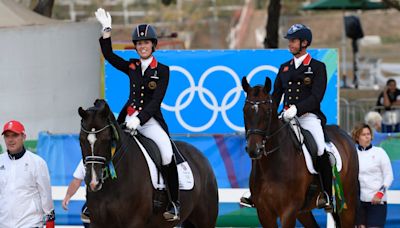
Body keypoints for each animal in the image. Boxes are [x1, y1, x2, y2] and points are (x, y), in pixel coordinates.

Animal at [78, 100, 219, 228]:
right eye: (81, 139)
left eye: (106, 139)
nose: (93, 182)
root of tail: (201, 156)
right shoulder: (97, 223)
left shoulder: (134, 222)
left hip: (205, 221)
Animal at [241, 77, 360, 227]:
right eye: (244, 111)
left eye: (268, 112)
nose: (254, 150)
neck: (272, 164)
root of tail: (345, 135)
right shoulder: (264, 213)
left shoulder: (288, 211)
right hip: (303, 211)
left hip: (347, 204)